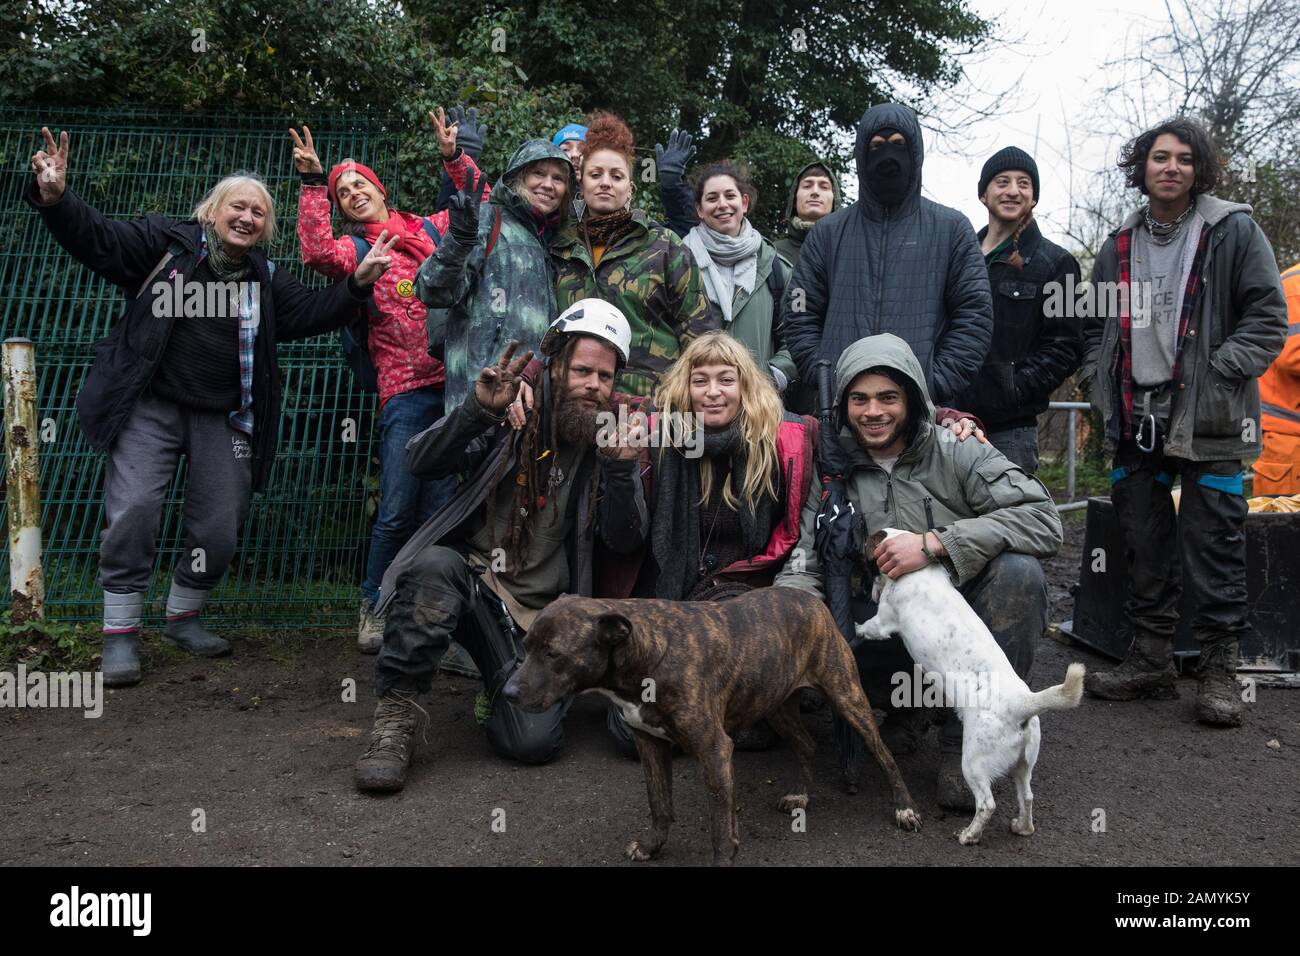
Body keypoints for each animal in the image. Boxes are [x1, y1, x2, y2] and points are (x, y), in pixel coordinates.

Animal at [499, 587, 925, 863]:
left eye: (553, 654)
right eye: (526, 647)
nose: (508, 692)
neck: (647, 653)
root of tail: (813, 600)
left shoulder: (713, 750)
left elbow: (720, 826)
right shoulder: (649, 743)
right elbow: (659, 804)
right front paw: (652, 846)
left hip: (847, 696)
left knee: (884, 756)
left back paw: (905, 809)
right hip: (776, 704)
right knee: (806, 745)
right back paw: (802, 795)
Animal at [852, 528, 1086, 848]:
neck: (920, 570)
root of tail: (1021, 705)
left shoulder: (884, 620)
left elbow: (870, 626)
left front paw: (855, 627)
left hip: (974, 762)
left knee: (987, 804)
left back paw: (969, 835)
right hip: (1024, 765)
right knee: (1027, 796)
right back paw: (1022, 827)